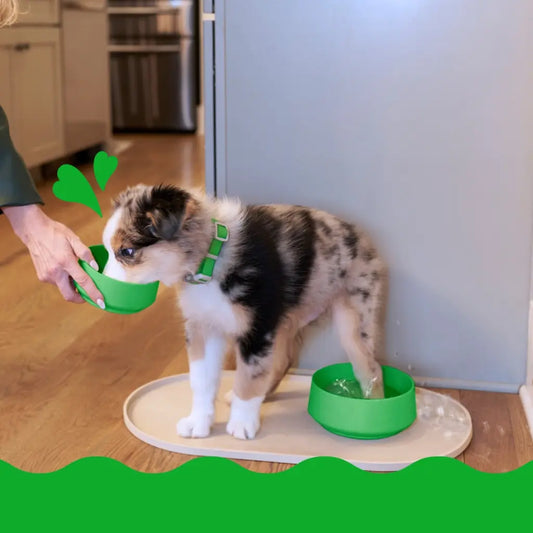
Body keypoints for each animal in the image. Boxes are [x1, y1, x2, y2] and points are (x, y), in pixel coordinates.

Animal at [102, 185, 384, 438]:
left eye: (127, 251)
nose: (101, 293)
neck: (211, 259)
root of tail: (364, 239)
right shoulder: (204, 327)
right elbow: (202, 381)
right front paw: (198, 423)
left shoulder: (256, 330)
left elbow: (249, 378)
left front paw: (241, 425)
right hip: (283, 321)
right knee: (282, 361)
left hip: (354, 319)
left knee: (372, 369)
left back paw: (373, 415)